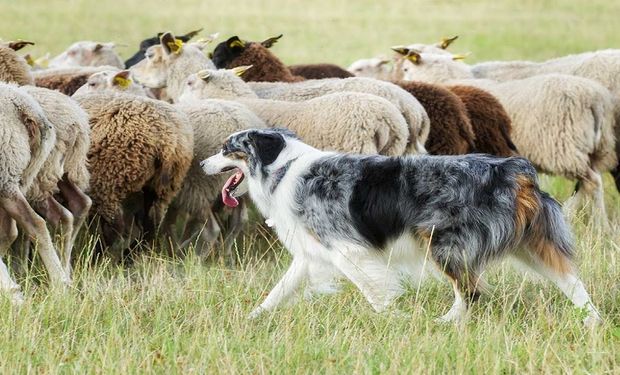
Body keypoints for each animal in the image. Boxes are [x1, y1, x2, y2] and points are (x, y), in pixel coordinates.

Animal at [202, 128, 600, 324]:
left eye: (227, 148)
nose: (202, 164)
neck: (282, 168)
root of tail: (513, 169)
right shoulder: (311, 252)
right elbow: (278, 292)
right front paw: (253, 318)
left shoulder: (346, 249)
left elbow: (374, 291)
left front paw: (394, 318)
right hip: (530, 244)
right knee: (572, 282)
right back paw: (592, 321)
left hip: (443, 243)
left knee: (471, 291)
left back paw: (444, 323)